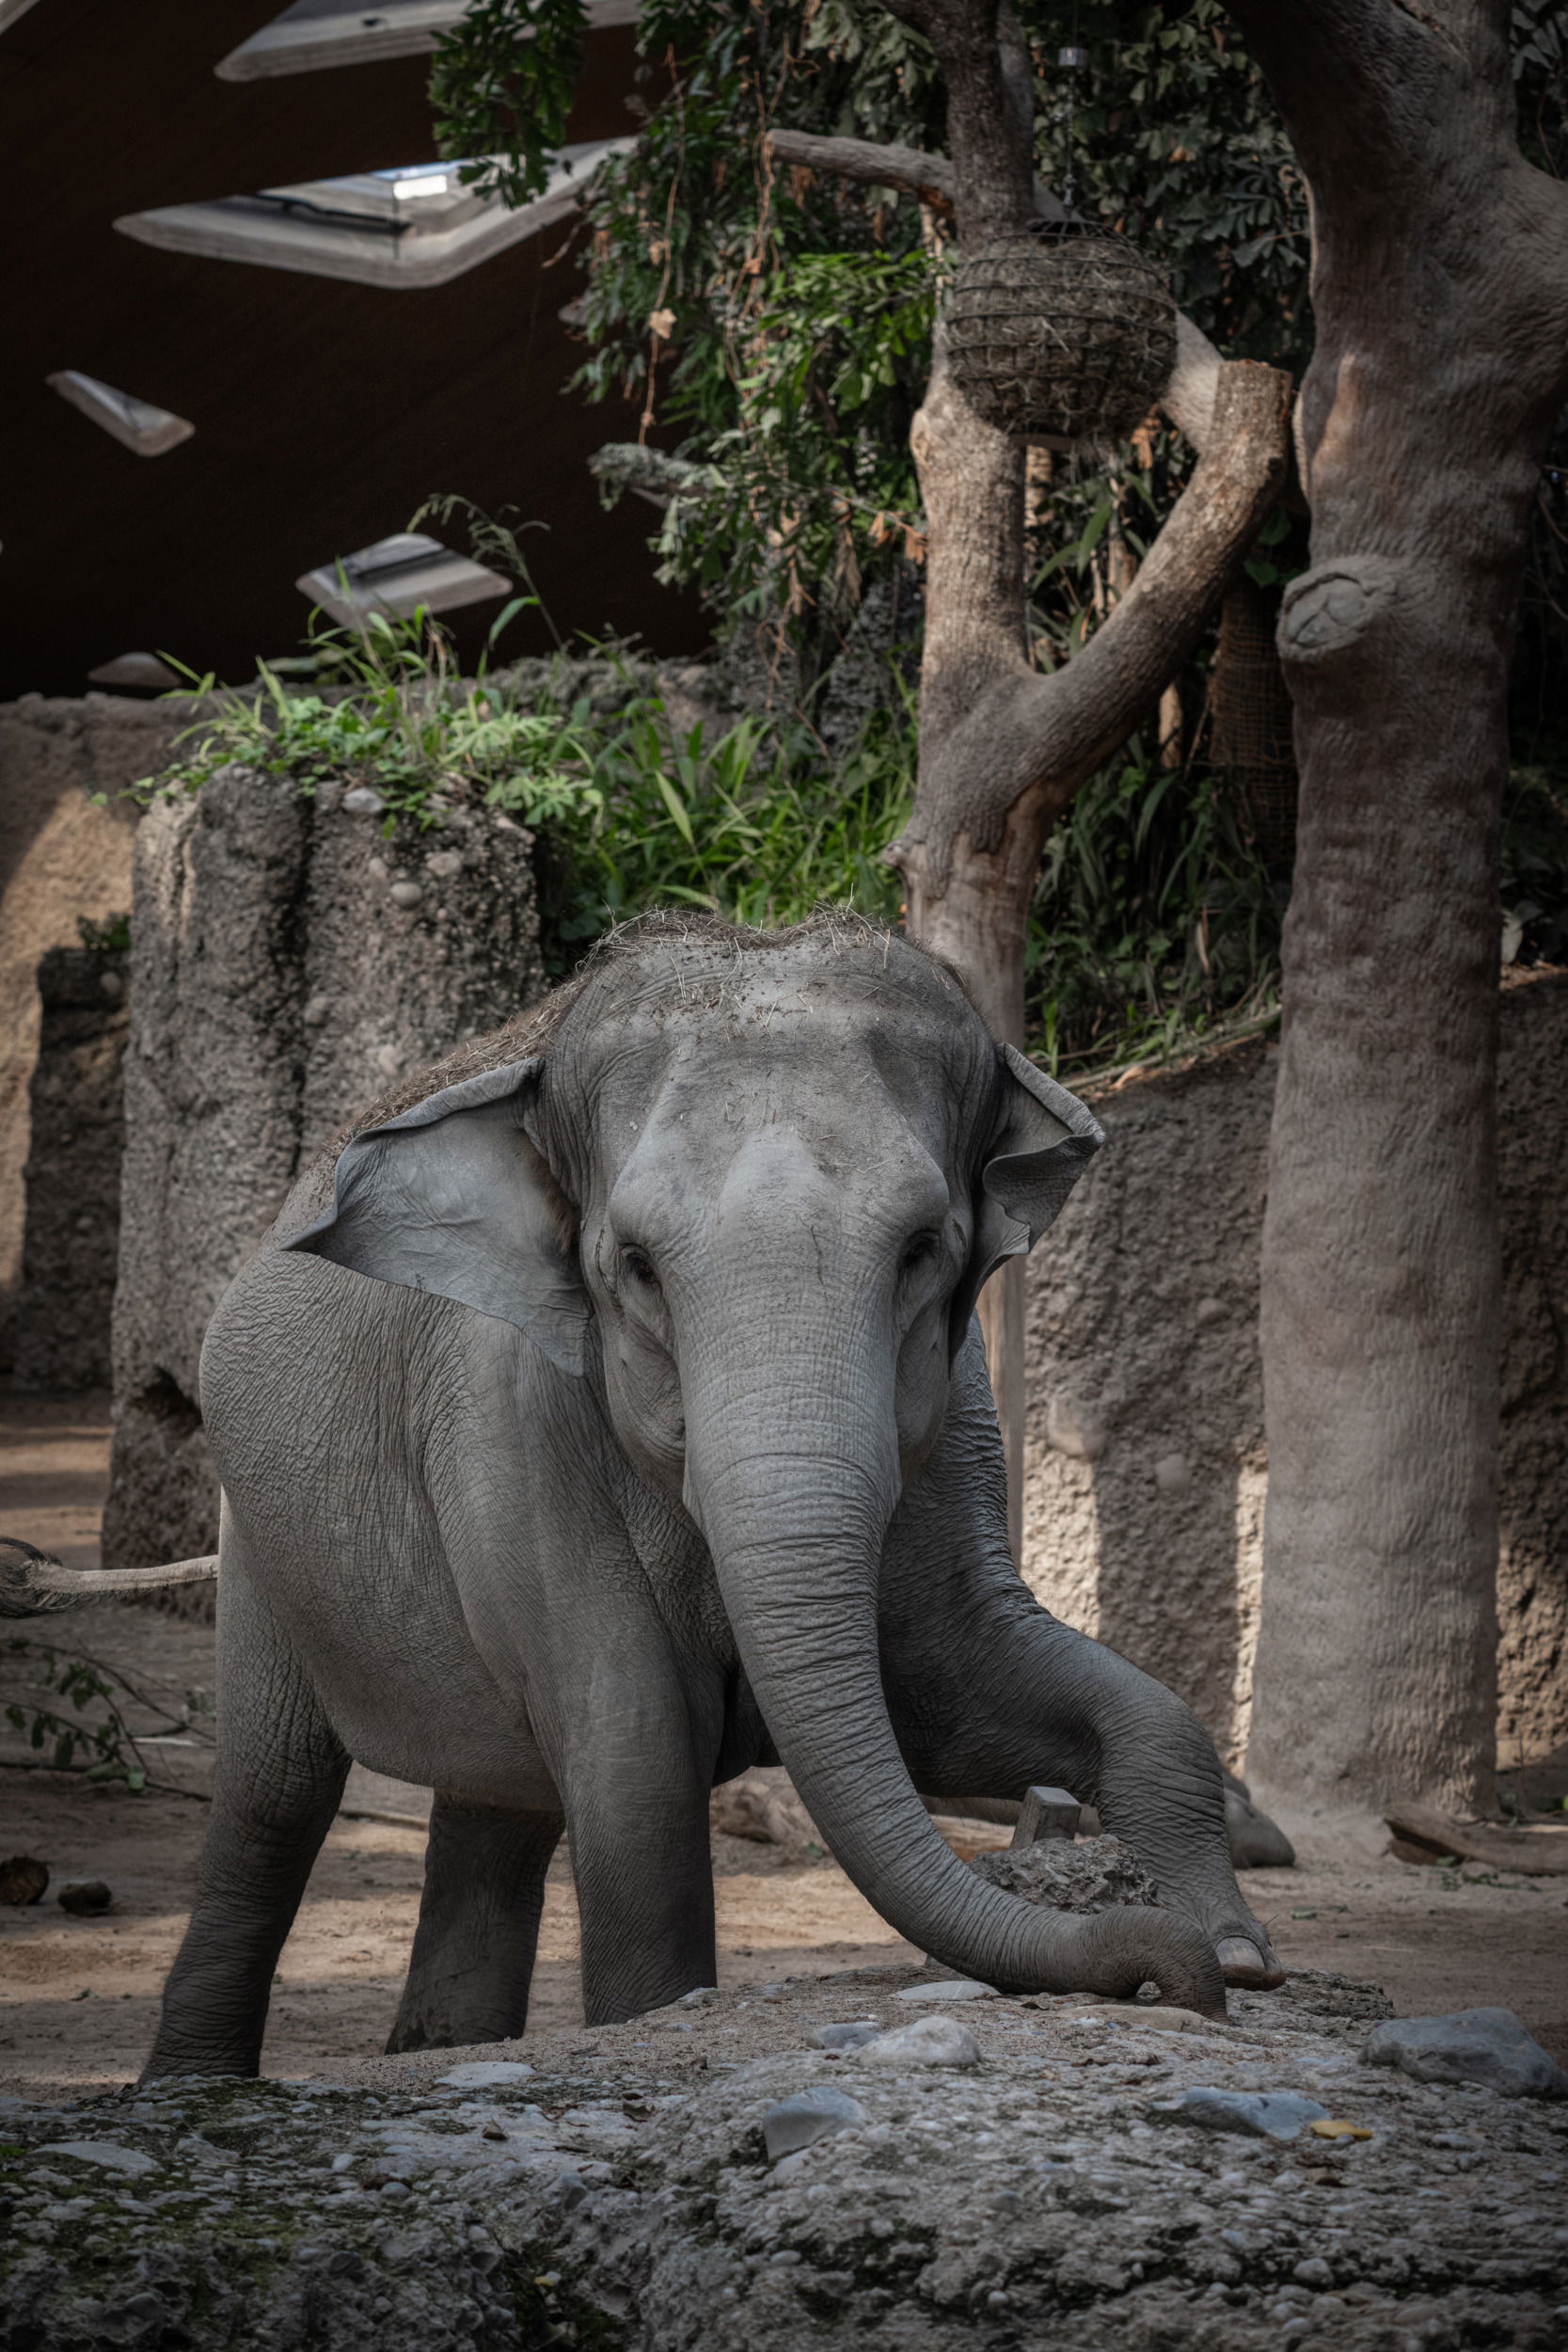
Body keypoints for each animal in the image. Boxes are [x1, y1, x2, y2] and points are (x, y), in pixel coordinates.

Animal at [141, 912, 1282, 2079]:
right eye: (636, 1265)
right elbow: (637, 1788)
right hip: (256, 1538)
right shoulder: (515, 1440)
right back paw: (194, 2080)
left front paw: (1233, 1941)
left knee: (496, 1809)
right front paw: (656, 2012)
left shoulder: (953, 1438)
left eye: (924, 1249)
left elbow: (994, 1690)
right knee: (271, 1799)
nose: (1178, 1974)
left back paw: (439, 2045)